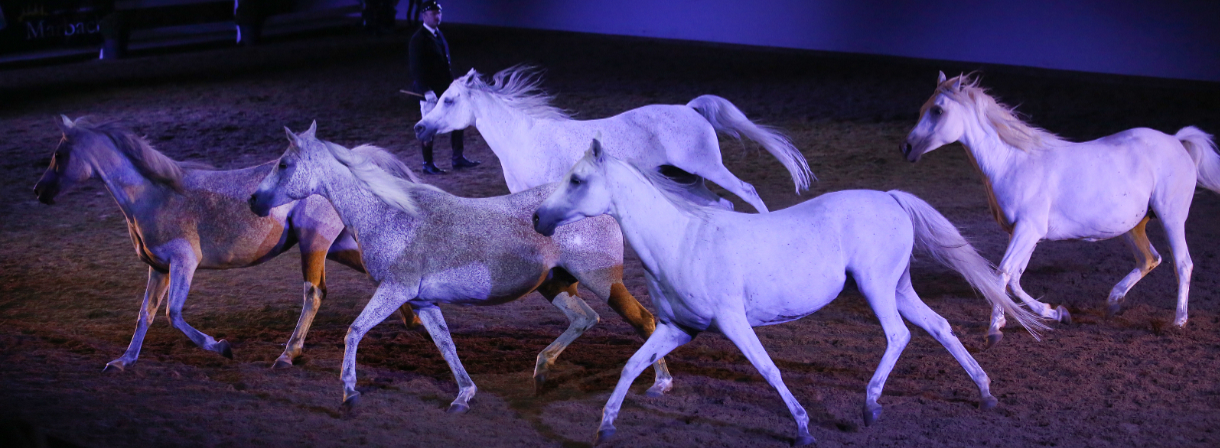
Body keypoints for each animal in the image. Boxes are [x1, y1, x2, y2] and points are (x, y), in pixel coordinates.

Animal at [242, 123, 673, 415]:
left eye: (283, 163)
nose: (254, 201)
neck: (391, 215)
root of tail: (605, 205)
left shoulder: (395, 290)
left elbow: (354, 331)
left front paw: (349, 392)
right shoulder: (422, 302)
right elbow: (445, 345)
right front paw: (464, 396)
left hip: (604, 281)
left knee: (646, 322)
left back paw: (661, 384)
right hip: (555, 285)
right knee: (585, 318)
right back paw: (541, 372)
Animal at [414, 65, 814, 213]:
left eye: (449, 100)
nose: (419, 128)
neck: (524, 139)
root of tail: (690, 109)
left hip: (708, 167)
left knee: (746, 191)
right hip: (687, 179)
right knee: (722, 205)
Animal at [529, 139, 1044, 446]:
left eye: (577, 180)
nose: (537, 218)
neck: (681, 239)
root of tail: (891, 198)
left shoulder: (733, 322)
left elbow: (768, 369)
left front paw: (803, 428)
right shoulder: (680, 329)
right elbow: (632, 365)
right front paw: (606, 425)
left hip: (877, 286)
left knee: (900, 336)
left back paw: (870, 406)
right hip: (898, 287)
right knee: (939, 327)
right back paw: (985, 392)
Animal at [897, 72, 1220, 339]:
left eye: (938, 110)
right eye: (923, 108)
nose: (906, 148)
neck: (1012, 162)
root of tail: (1176, 140)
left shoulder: (1028, 230)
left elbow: (1002, 274)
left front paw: (995, 328)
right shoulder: (1025, 233)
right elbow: (1015, 278)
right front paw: (1055, 313)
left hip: (1171, 216)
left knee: (1182, 263)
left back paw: (1179, 321)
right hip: (1132, 226)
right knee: (1149, 259)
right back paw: (1113, 302)